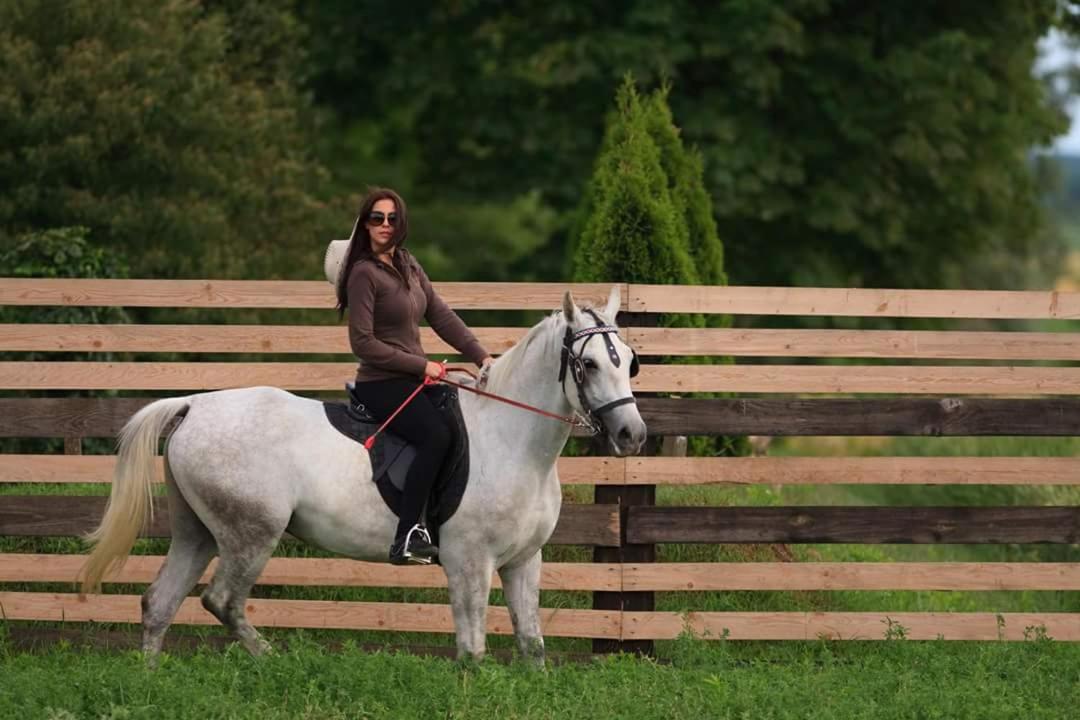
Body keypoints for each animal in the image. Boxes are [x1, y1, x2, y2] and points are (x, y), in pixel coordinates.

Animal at [79, 286, 647, 665]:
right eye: (589, 365)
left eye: (629, 361)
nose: (631, 435)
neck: (511, 438)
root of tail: (193, 405)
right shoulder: (469, 562)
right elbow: (472, 649)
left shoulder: (524, 561)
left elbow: (532, 644)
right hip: (250, 533)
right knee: (222, 601)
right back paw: (274, 662)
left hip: (197, 532)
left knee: (159, 604)